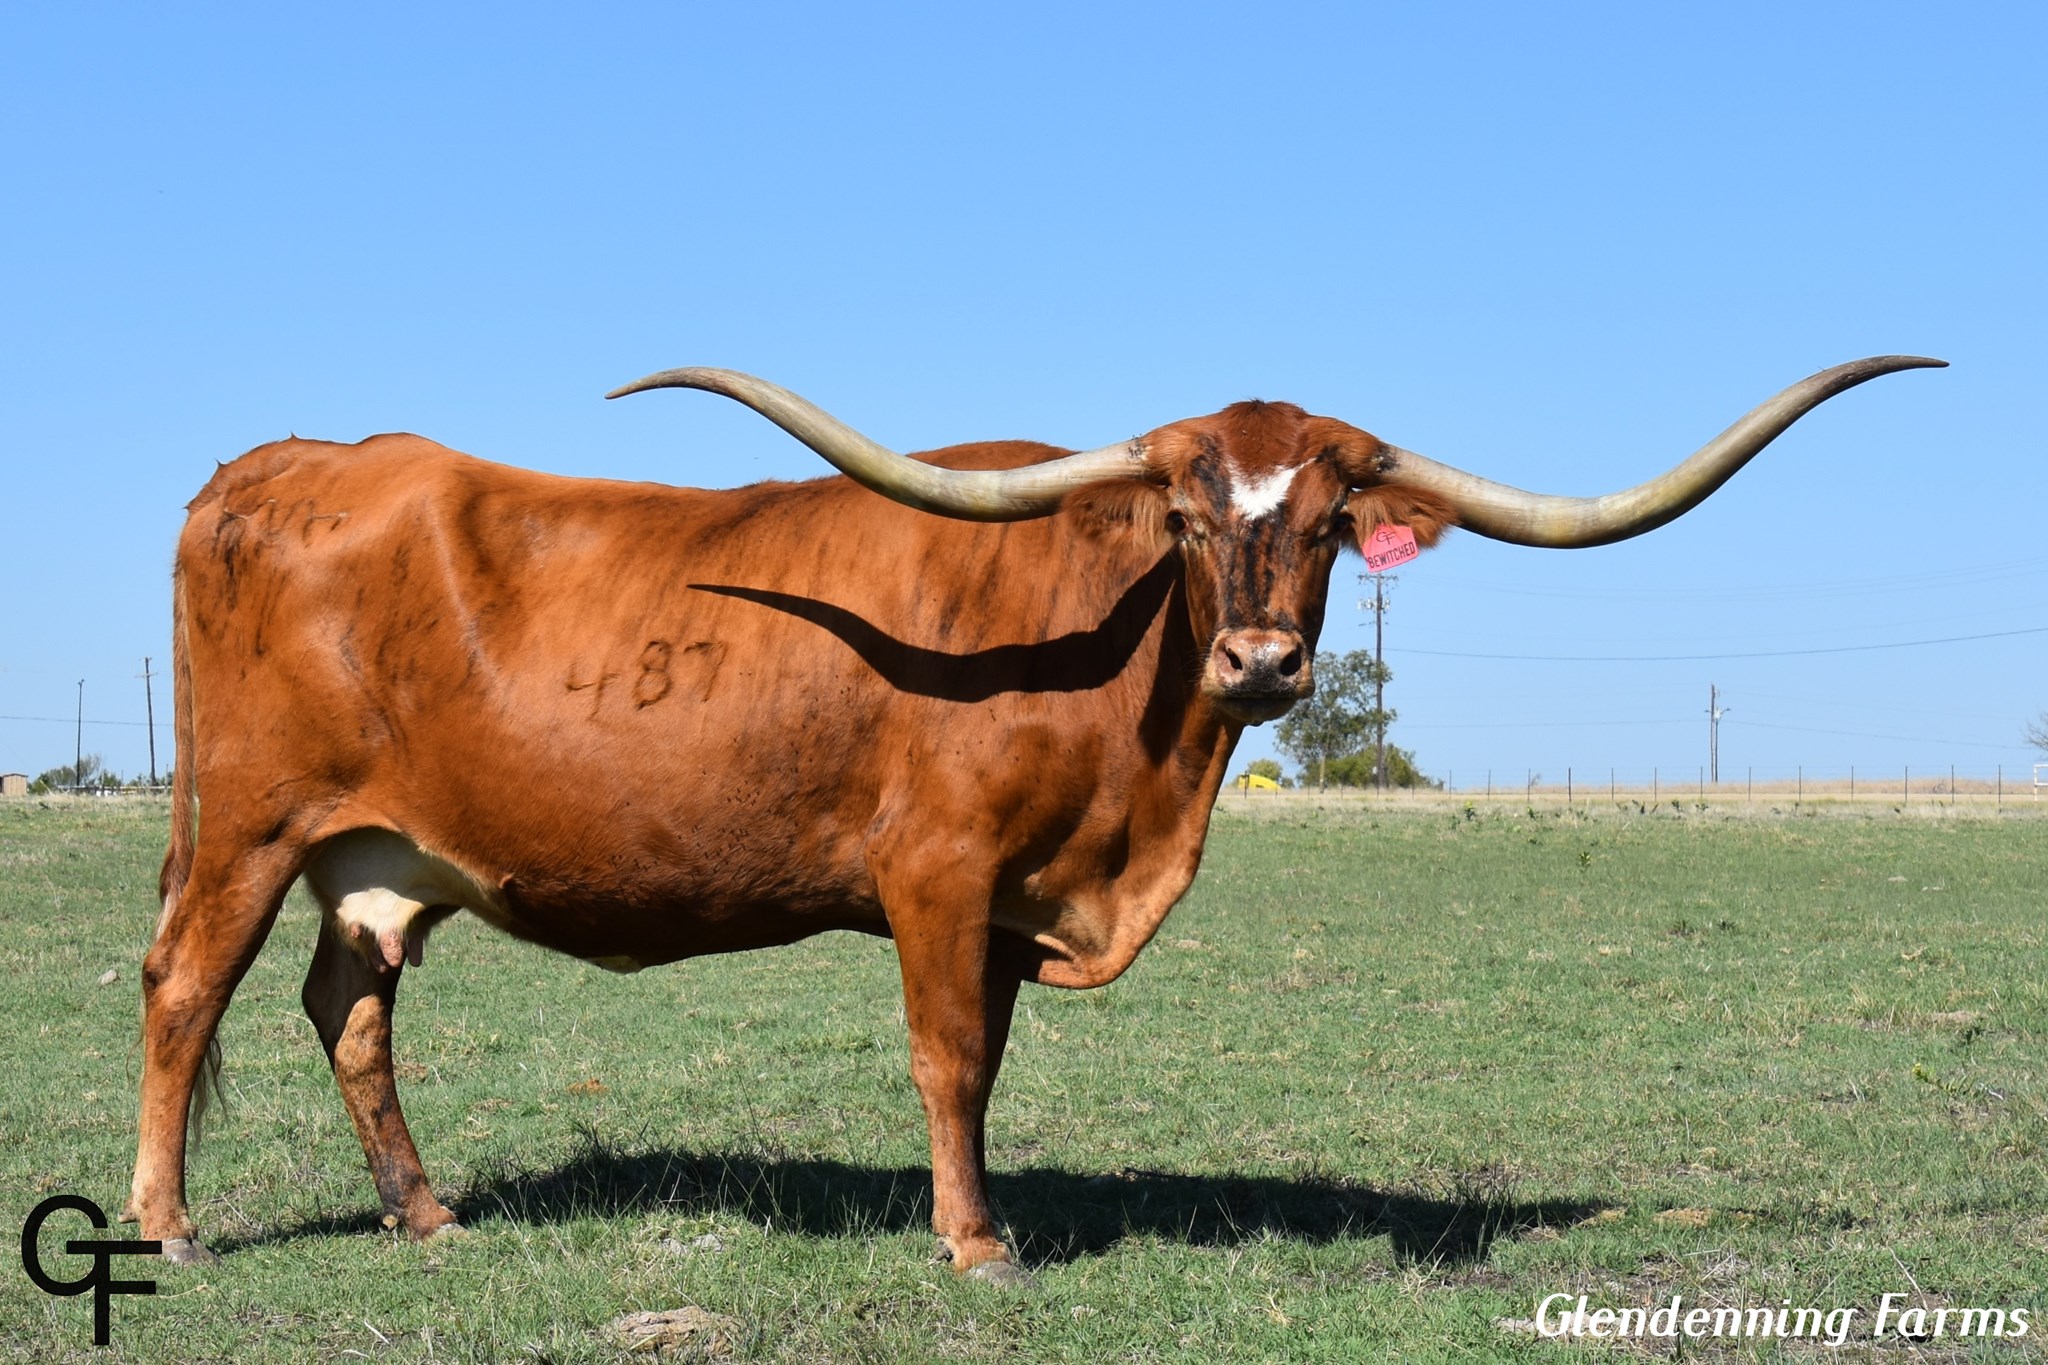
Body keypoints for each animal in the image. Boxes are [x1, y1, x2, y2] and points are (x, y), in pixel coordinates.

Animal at [128, 356, 1940, 1279]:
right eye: (1190, 513)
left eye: (1332, 520)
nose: (1265, 659)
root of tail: (280, 462)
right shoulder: (938, 878)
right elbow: (947, 1060)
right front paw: (975, 1245)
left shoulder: (1013, 901)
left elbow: (987, 1066)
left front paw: (982, 1213)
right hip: (250, 833)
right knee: (183, 993)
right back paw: (167, 1225)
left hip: (378, 863)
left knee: (346, 1008)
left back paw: (425, 1213)